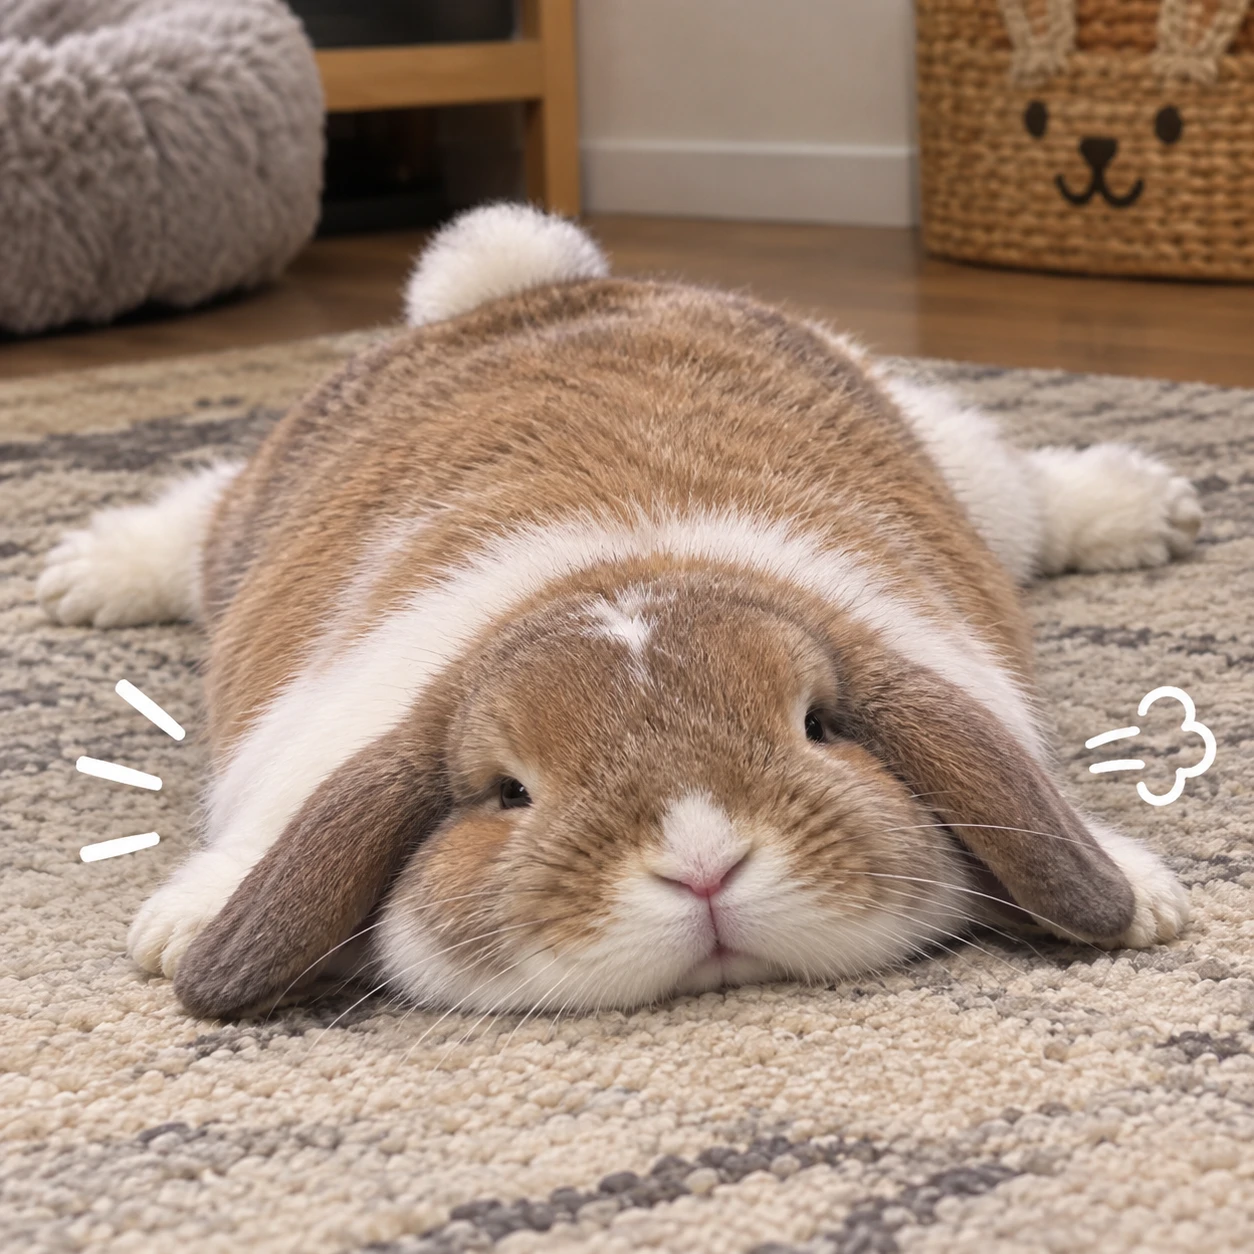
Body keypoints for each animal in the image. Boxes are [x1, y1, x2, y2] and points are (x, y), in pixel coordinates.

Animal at [38, 204, 1200, 1020]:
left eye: (818, 727)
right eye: (509, 792)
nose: (704, 867)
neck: (615, 575)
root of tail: (522, 292)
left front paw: (1141, 894)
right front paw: (182, 929)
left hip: (950, 458)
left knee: (1027, 490)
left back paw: (1152, 511)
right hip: (251, 514)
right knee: (199, 512)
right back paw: (85, 576)